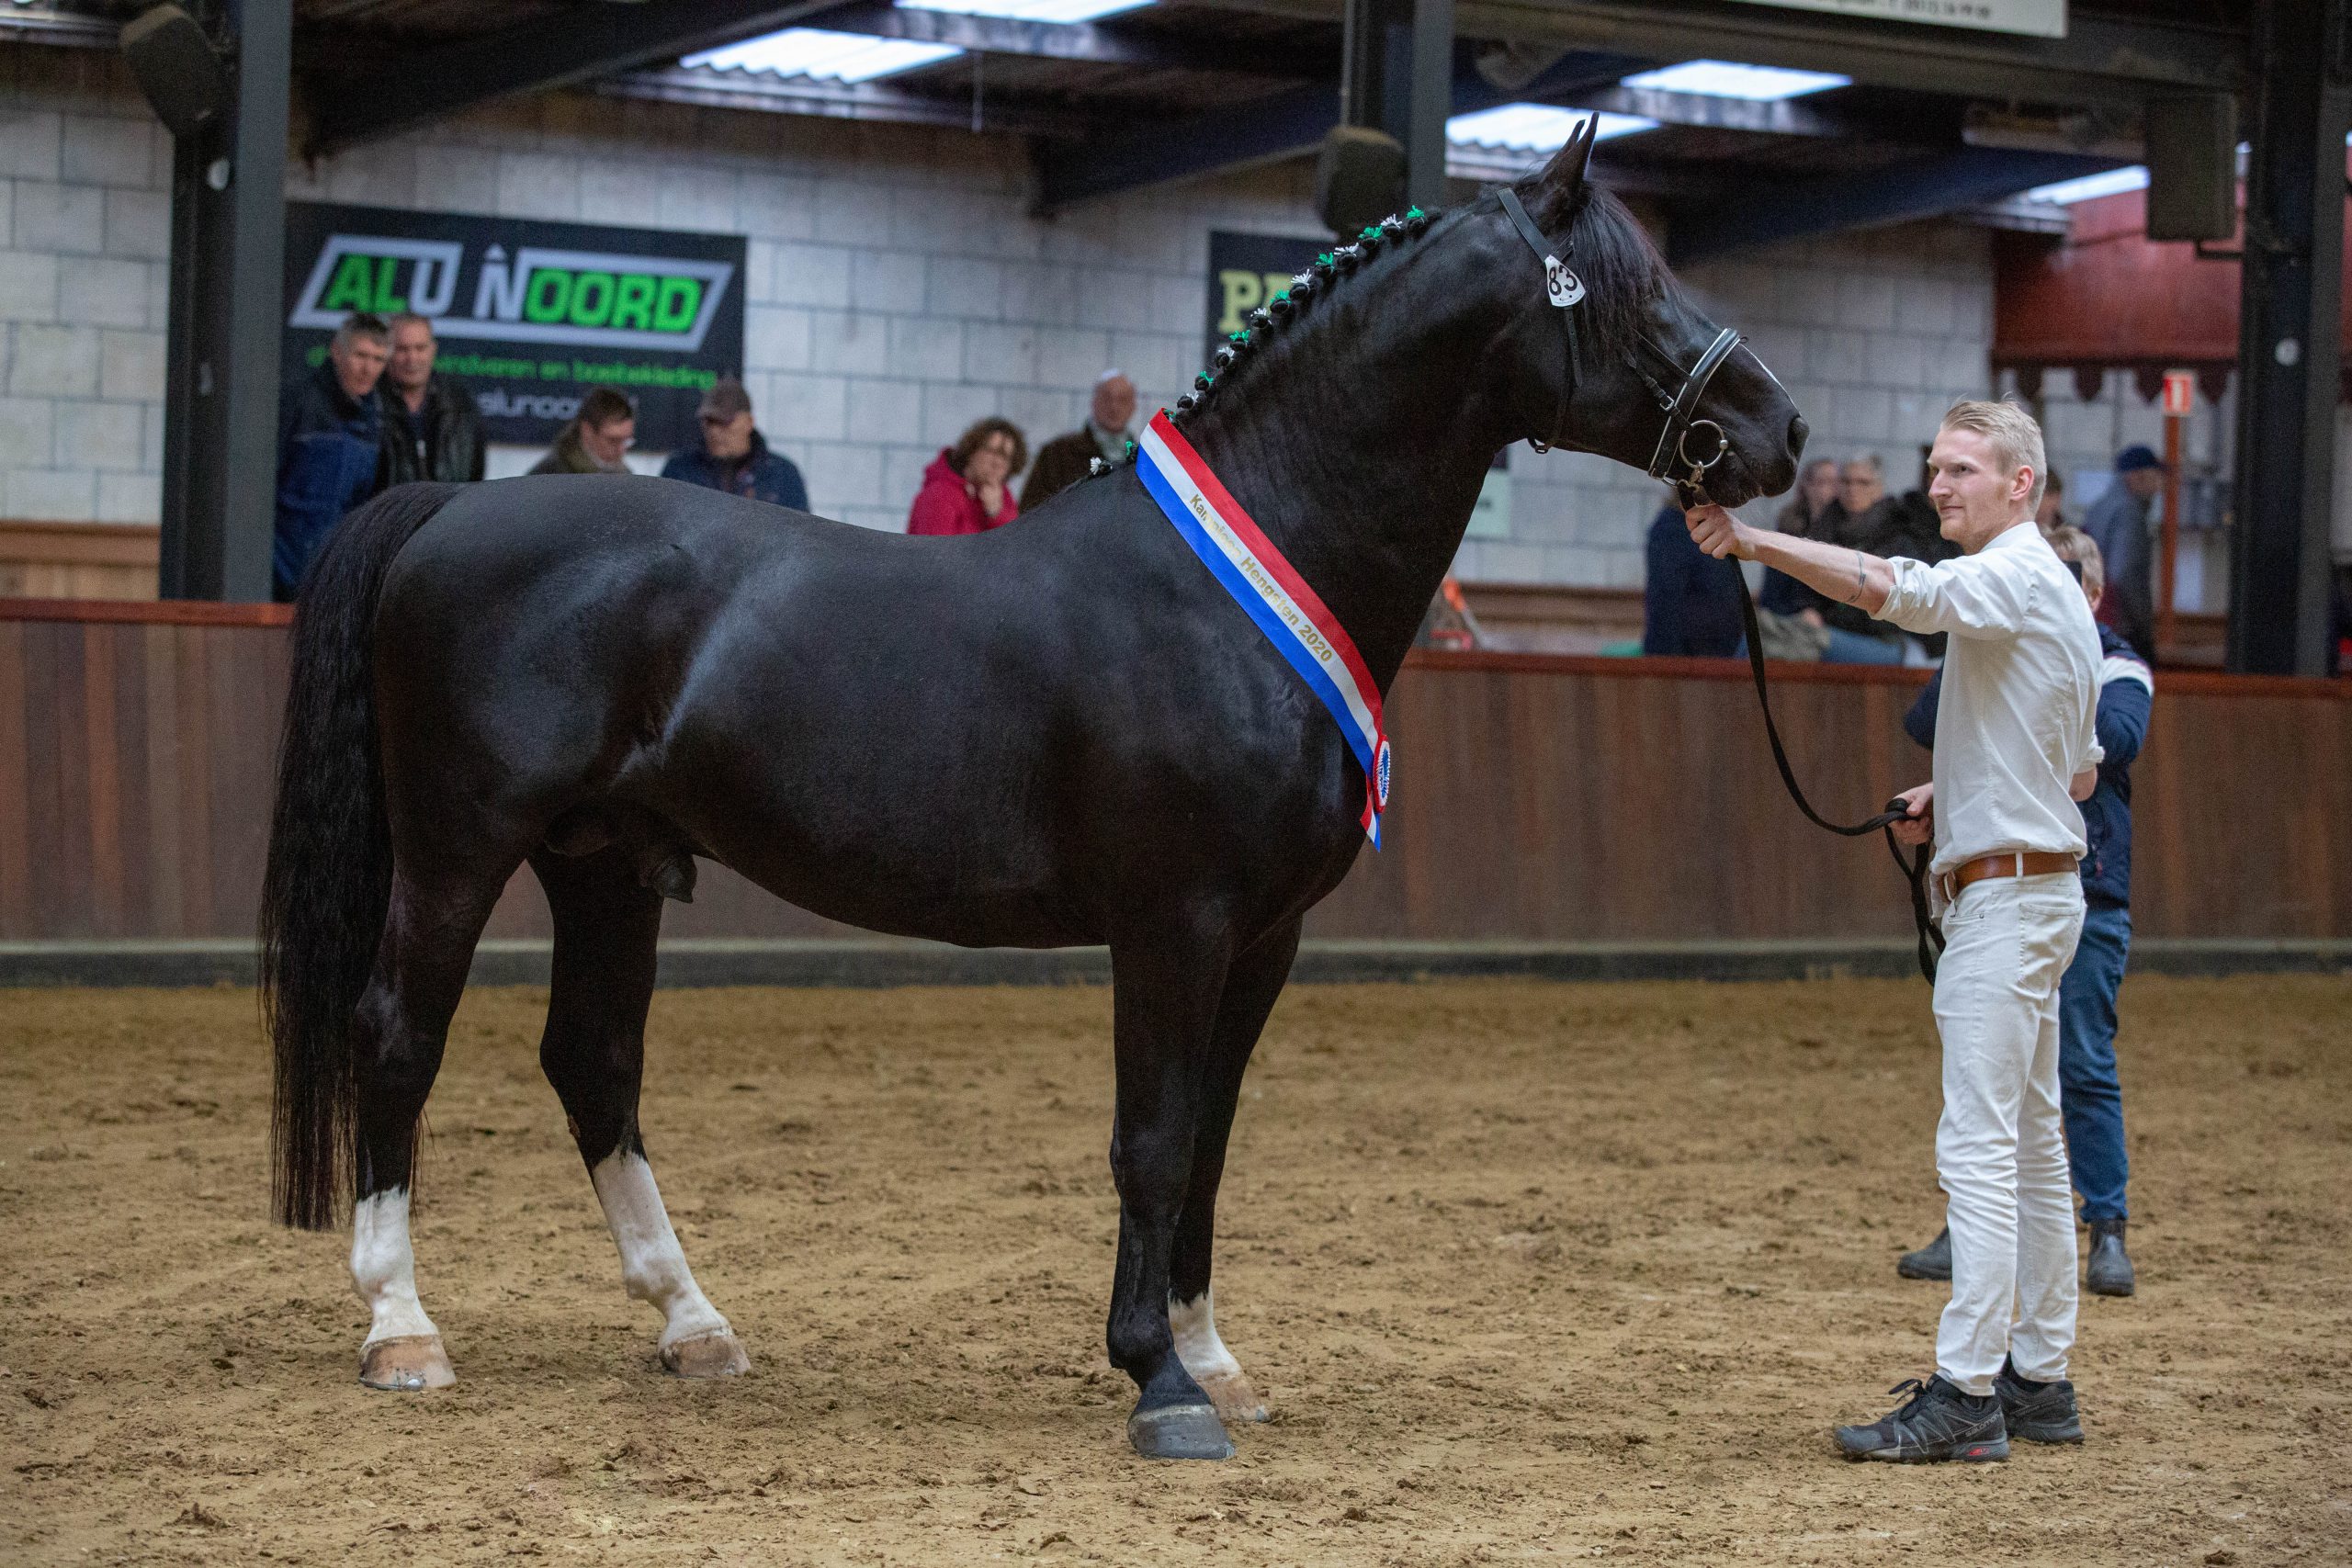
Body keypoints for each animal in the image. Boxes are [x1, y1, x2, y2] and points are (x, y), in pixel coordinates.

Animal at [262, 122, 1796, 1457]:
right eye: (1632, 291)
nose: (1774, 429)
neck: (1223, 592)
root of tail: (451, 506)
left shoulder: (1262, 936)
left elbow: (1212, 1138)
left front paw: (1213, 1357)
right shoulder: (1172, 920)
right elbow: (1153, 1136)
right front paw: (1158, 1377)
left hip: (604, 860)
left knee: (593, 1059)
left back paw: (692, 1320)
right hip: (463, 848)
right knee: (397, 1033)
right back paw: (403, 1325)